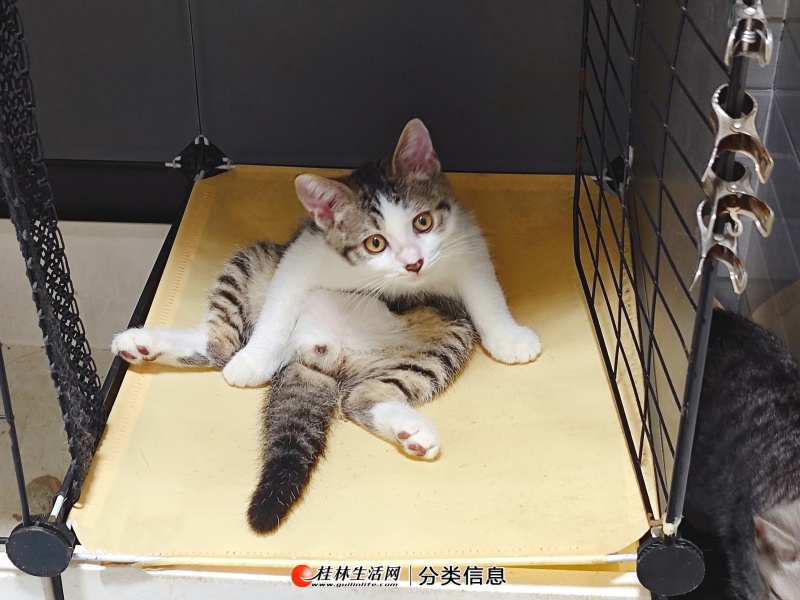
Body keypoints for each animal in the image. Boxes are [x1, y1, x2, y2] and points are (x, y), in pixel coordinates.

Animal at [111, 118, 539, 532]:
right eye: (375, 243)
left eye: (423, 222)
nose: (414, 263)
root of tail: (327, 354)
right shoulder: (302, 255)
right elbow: (279, 307)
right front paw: (254, 362)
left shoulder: (465, 242)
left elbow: (485, 293)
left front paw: (509, 338)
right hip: (256, 261)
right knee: (222, 343)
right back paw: (149, 344)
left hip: (441, 341)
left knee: (361, 398)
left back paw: (412, 432)